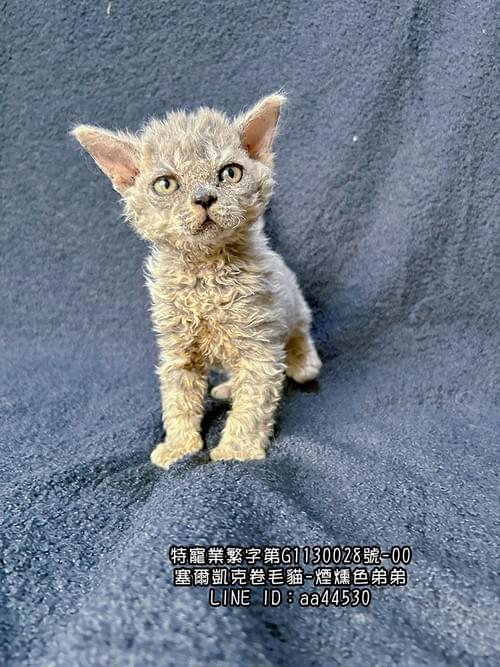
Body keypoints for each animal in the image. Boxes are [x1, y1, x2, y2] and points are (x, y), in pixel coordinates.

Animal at [72, 93, 321, 468]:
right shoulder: (176, 352)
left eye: (230, 173)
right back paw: (228, 388)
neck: (206, 274)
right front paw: (179, 446)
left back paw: (304, 365)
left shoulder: (259, 348)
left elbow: (253, 405)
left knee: (299, 334)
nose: (204, 198)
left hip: (293, 305)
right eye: (165, 184)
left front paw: (236, 450)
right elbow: (178, 402)